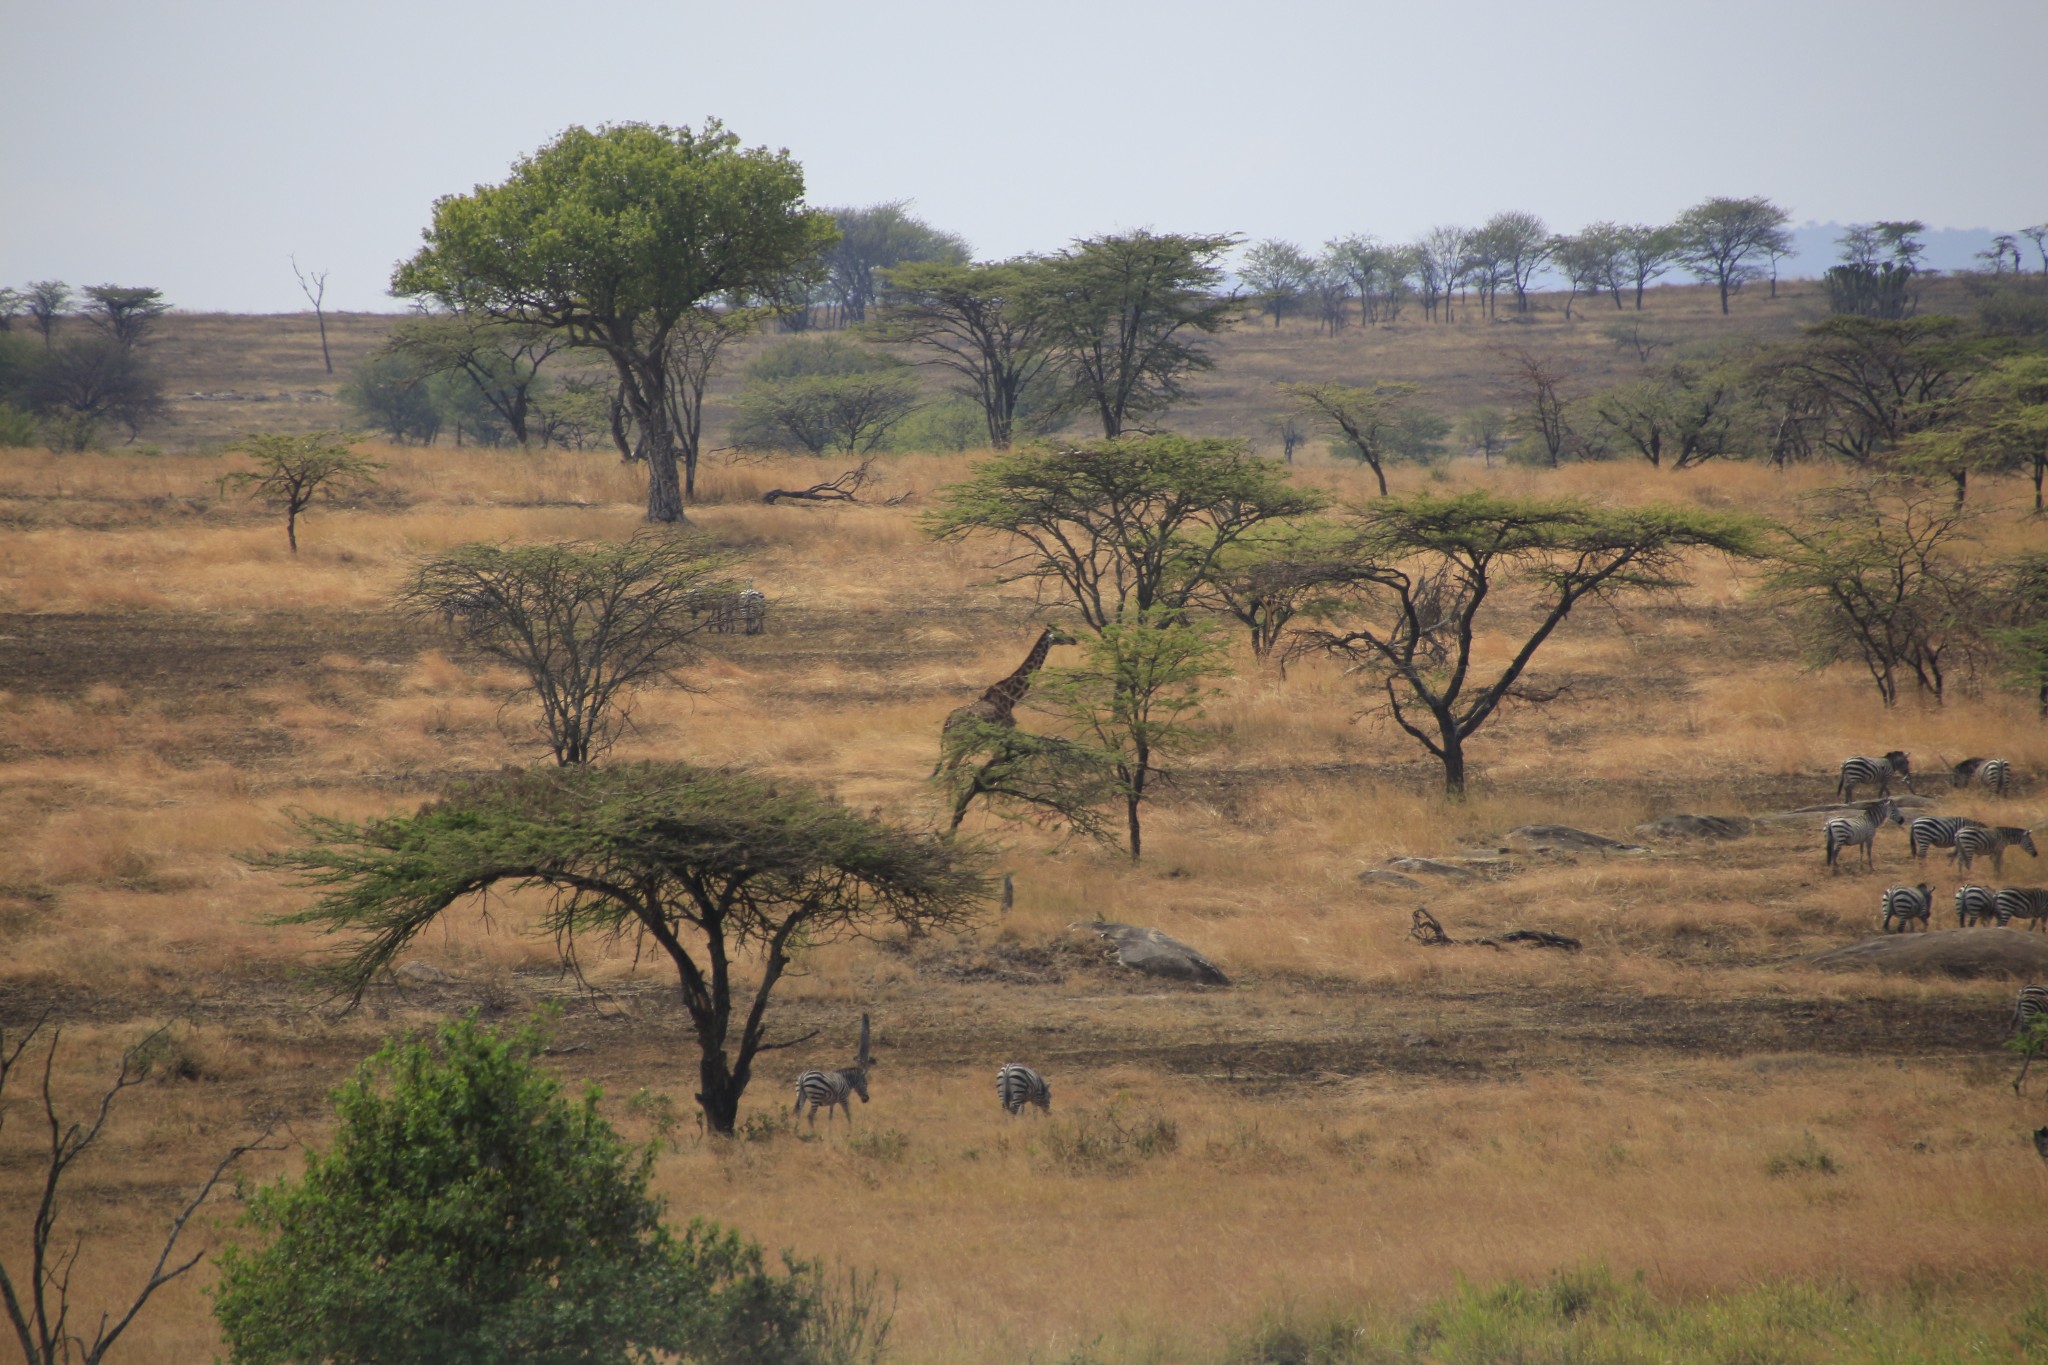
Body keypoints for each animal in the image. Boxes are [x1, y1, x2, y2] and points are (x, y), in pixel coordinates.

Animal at [937, 626, 1081, 773]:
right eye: (1060, 633)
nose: (1073, 640)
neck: (1011, 697)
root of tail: (948, 723)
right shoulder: (1004, 734)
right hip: (961, 743)